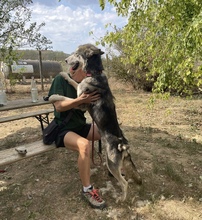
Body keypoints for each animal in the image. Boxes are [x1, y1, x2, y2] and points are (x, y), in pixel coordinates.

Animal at [49, 43, 142, 201]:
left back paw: (121, 198)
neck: (95, 73)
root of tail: (123, 144)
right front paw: (64, 75)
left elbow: (66, 98)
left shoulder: (81, 102)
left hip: (111, 163)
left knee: (124, 183)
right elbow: (73, 82)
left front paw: (53, 97)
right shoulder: (79, 92)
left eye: (76, 53)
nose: (66, 60)